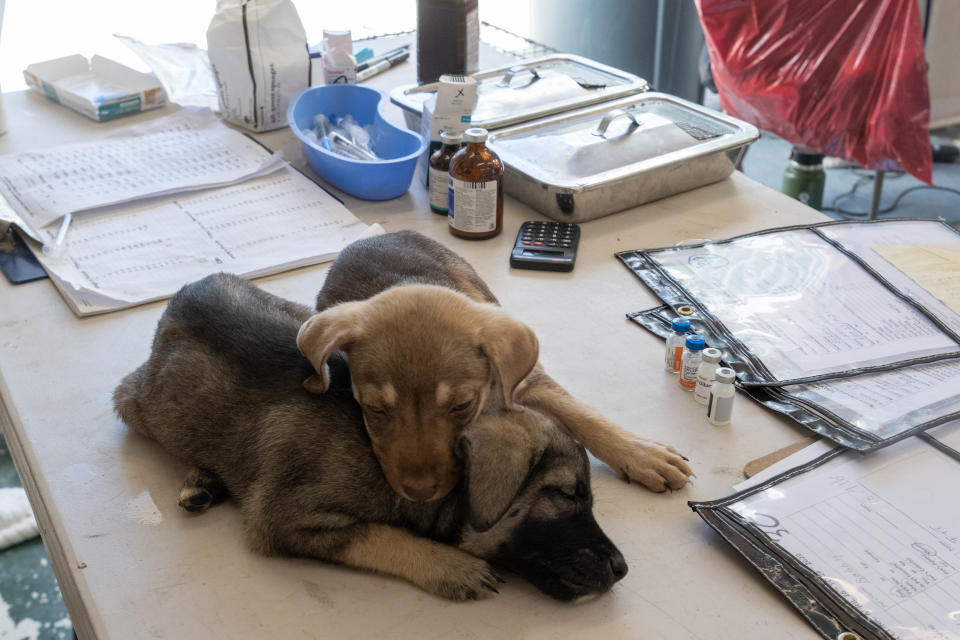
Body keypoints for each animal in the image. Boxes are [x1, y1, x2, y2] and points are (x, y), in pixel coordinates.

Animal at [112, 274, 628, 600]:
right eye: (565, 495)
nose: (622, 569)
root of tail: (190, 289)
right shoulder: (283, 520)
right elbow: (381, 536)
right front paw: (451, 567)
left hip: (308, 316)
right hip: (136, 407)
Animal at [300, 230, 688, 500]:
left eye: (462, 405)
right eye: (374, 409)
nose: (420, 493)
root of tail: (375, 236)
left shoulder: (529, 382)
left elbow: (583, 416)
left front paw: (640, 454)